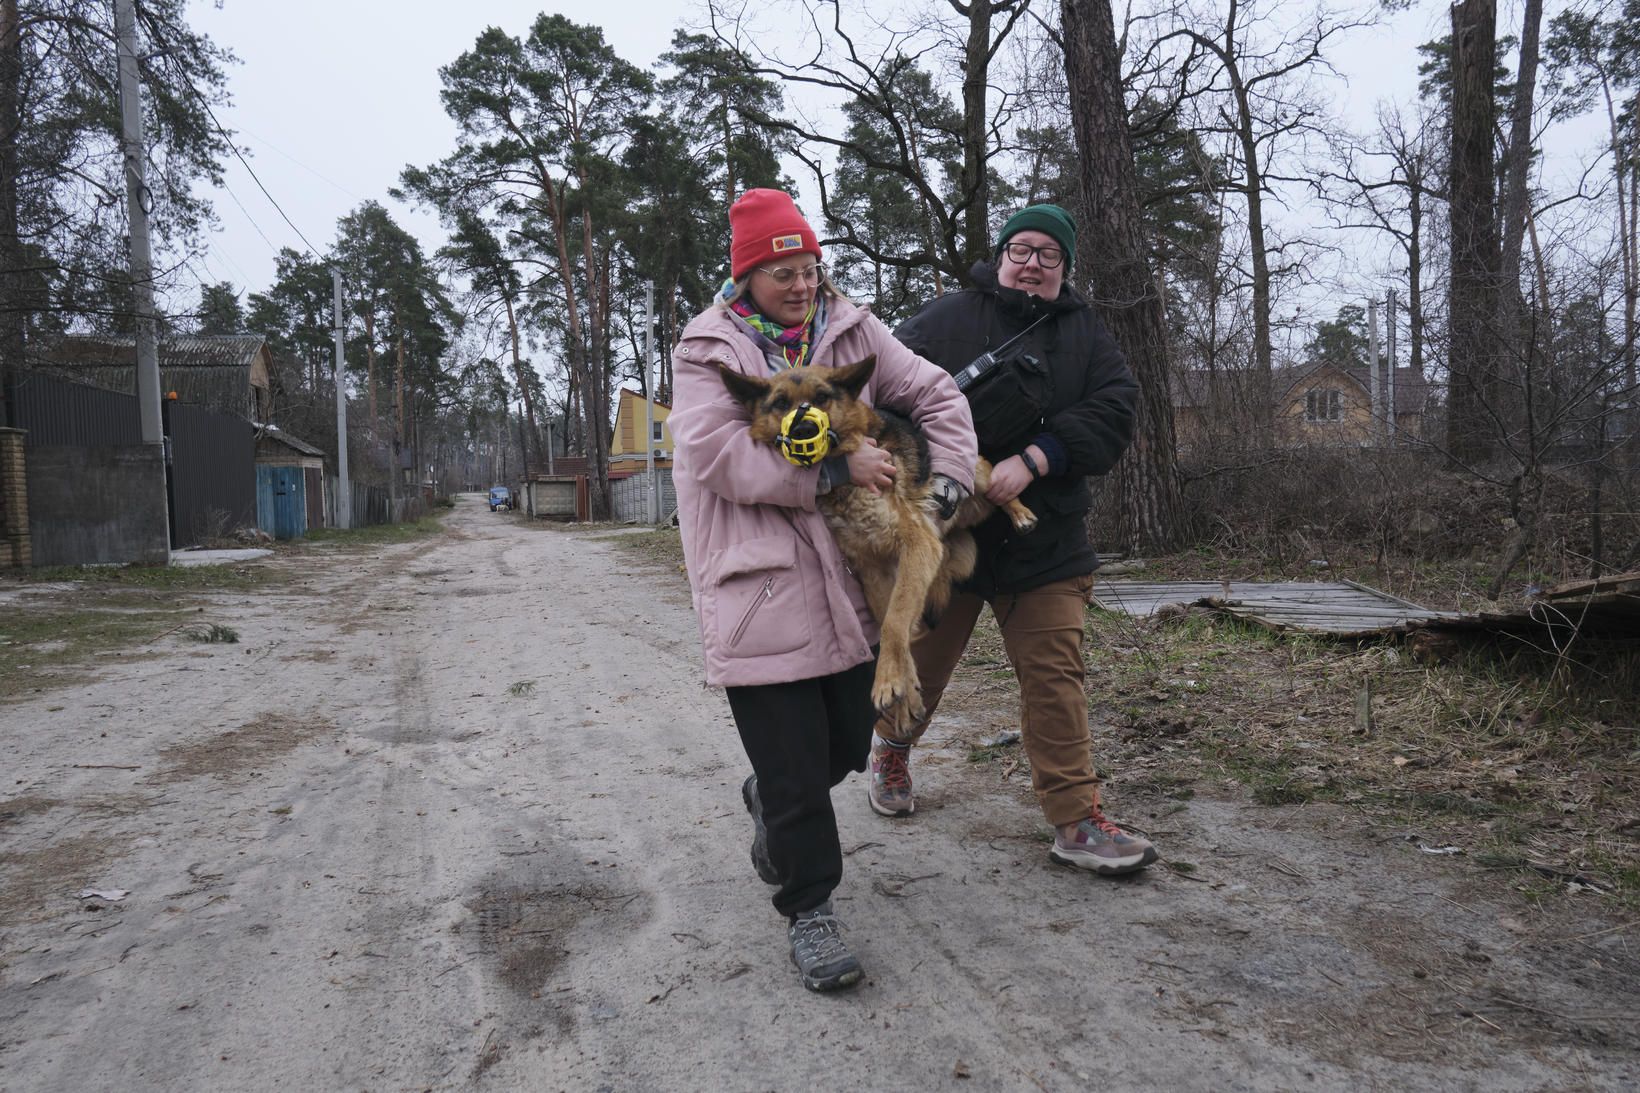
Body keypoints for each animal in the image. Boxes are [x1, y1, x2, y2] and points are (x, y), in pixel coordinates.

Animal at [718, 356, 1036, 731]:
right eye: (781, 403)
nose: (803, 430)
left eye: (822, 397)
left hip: (976, 474)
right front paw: (905, 694)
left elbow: (895, 622)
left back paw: (1020, 513)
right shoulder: (873, 568)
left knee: (1001, 485)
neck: (843, 483)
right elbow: (892, 625)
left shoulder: (917, 545)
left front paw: (886, 681)